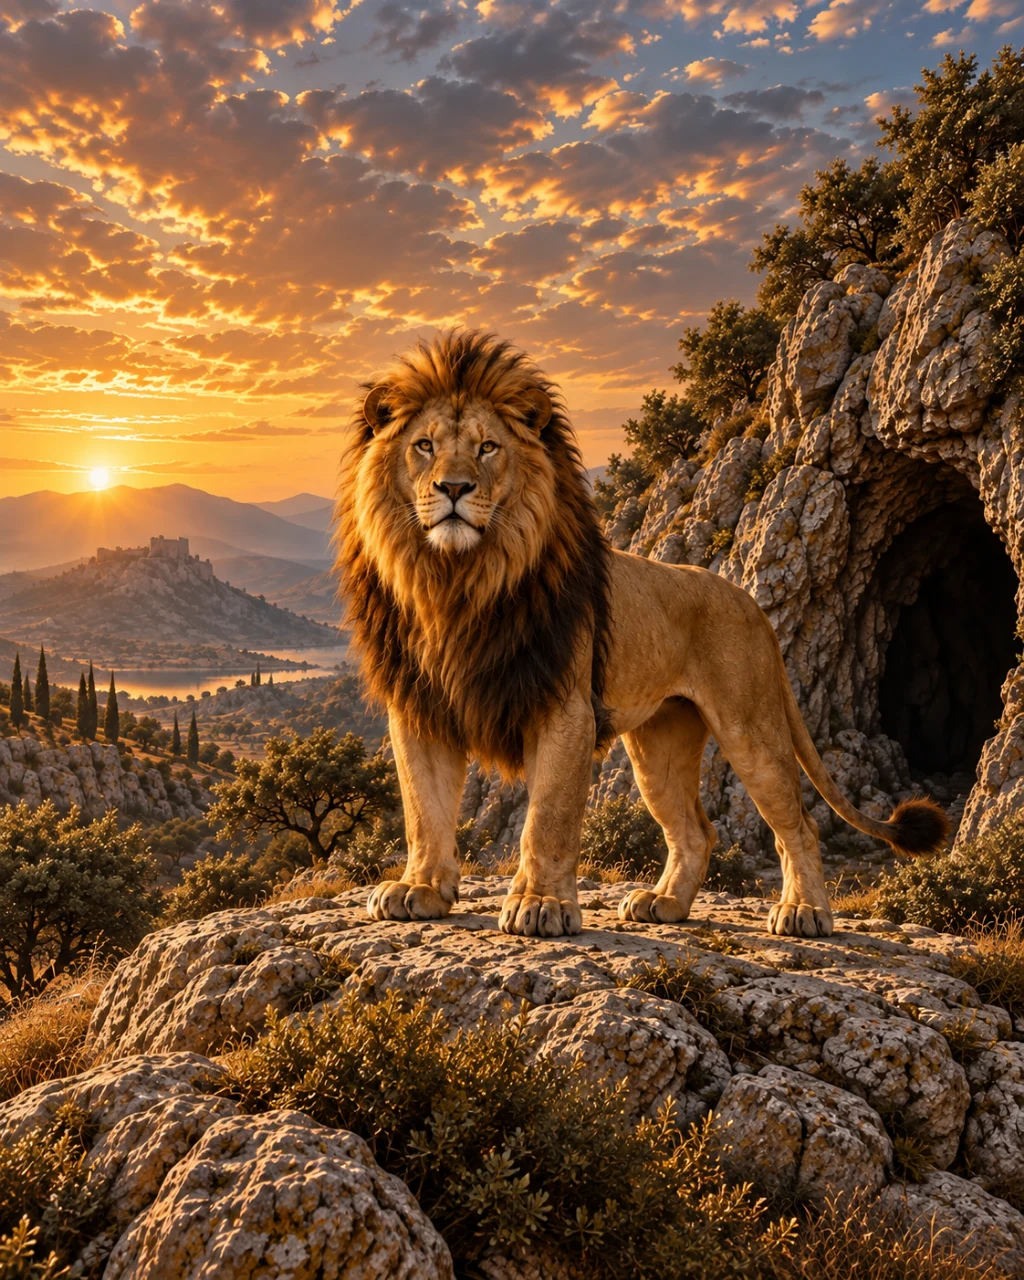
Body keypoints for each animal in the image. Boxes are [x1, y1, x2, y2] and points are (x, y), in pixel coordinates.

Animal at [334, 329, 947, 939]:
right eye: (424, 445)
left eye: (488, 447)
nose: (454, 487)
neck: (455, 583)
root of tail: (750, 601)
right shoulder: (419, 709)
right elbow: (424, 811)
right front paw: (418, 889)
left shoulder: (566, 710)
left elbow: (547, 818)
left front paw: (539, 903)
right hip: (660, 745)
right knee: (696, 830)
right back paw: (665, 903)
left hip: (751, 728)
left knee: (799, 824)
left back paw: (804, 911)